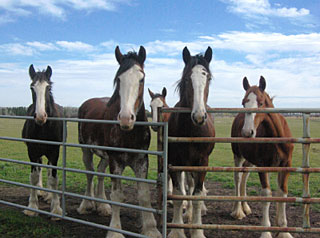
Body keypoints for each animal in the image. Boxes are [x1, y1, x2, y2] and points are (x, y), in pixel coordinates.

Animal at [21, 64, 63, 218]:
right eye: (31, 87)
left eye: (48, 88)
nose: (40, 116)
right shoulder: (32, 151)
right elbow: (33, 176)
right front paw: (32, 206)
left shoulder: (54, 152)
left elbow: (53, 178)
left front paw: (56, 208)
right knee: (39, 168)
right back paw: (40, 191)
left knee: (49, 171)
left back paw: (49, 196)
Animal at [76, 45, 161, 237]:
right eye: (118, 79)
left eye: (141, 78)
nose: (125, 118)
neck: (130, 134)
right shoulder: (115, 161)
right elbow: (117, 195)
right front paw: (115, 231)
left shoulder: (141, 161)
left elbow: (143, 195)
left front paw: (151, 229)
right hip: (86, 150)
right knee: (90, 173)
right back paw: (86, 204)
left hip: (104, 156)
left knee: (100, 173)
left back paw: (102, 206)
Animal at [230, 76, 296, 238]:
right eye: (243, 102)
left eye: (260, 103)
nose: (247, 132)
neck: (277, 138)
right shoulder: (263, 166)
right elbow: (266, 194)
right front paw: (266, 231)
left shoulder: (286, 165)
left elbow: (282, 192)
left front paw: (283, 230)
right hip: (238, 155)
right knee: (237, 177)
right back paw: (237, 210)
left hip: (250, 161)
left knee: (245, 176)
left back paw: (245, 207)